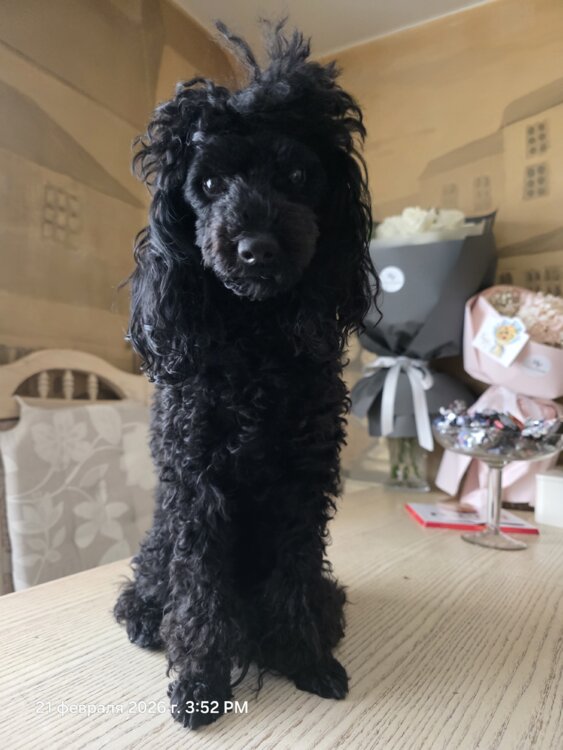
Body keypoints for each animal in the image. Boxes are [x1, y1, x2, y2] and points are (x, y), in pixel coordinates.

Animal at [114, 20, 375, 729]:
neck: (255, 347)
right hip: (160, 542)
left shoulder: (302, 485)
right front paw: (200, 684)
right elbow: (200, 596)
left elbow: (294, 579)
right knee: (153, 590)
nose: (257, 248)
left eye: (299, 175)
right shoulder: (199, 489)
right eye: (207, 186)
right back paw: (146, 617)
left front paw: (305, 659)